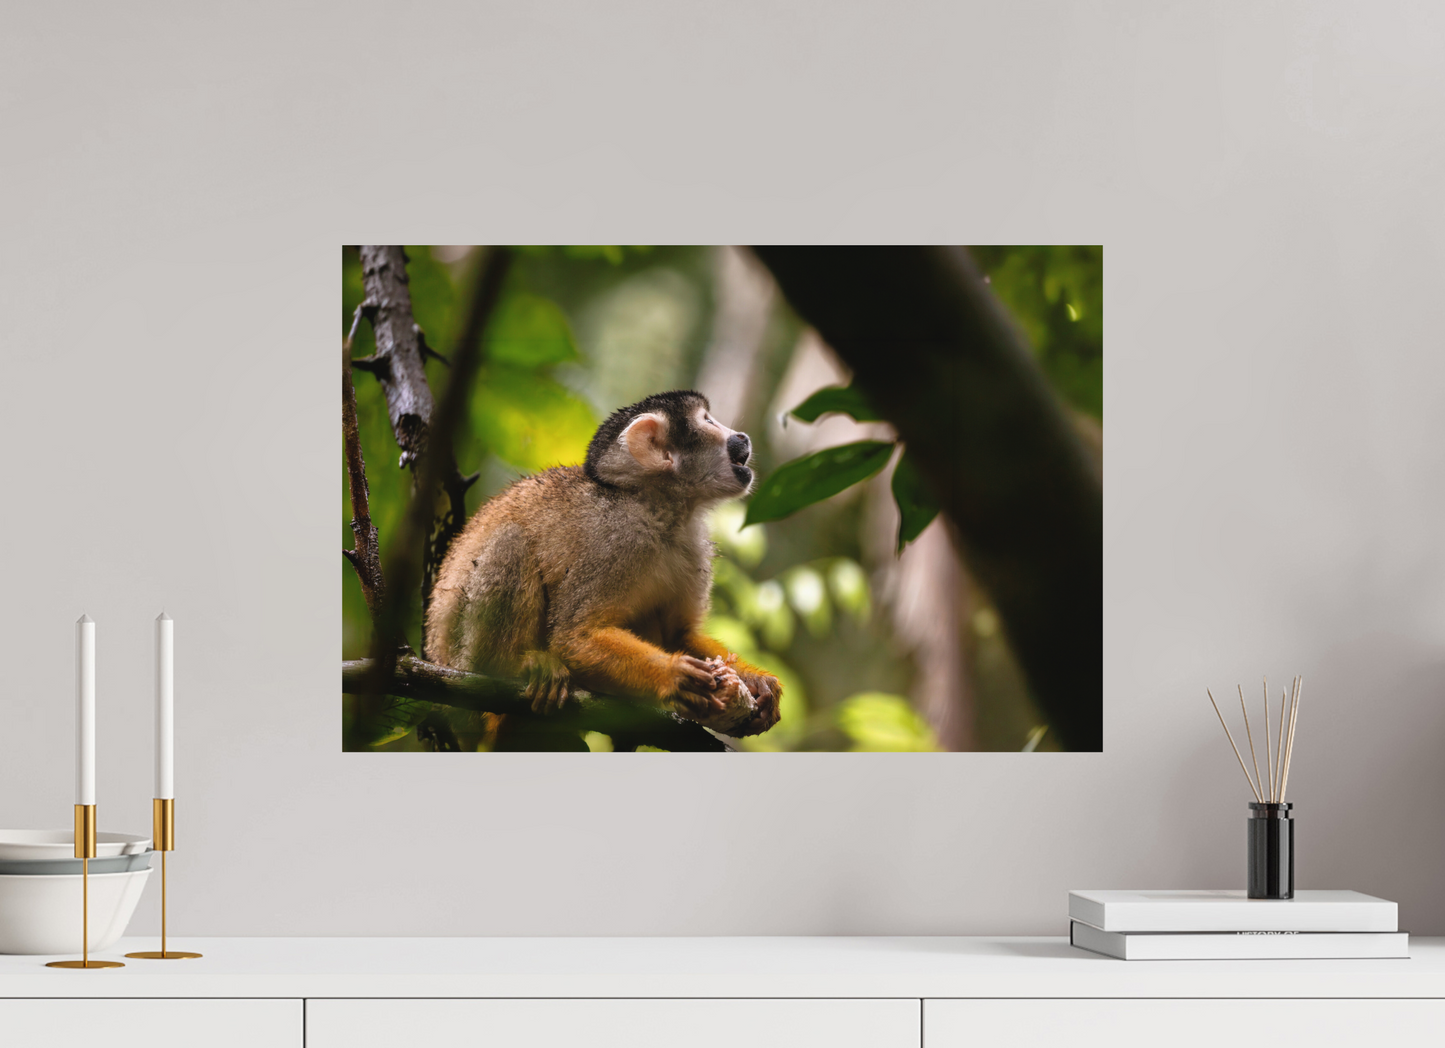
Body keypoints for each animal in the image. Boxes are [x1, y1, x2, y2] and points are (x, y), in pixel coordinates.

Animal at [424, 390, 782, 741]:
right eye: (708, 421)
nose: (742, 438)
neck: (658, 512)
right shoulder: (615, 540)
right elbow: (574, 636)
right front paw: (674, 676)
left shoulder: (694, 546)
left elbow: (678, 634)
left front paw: (754, 680)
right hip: (463, 660)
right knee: (510, 543)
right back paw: (513, 680)